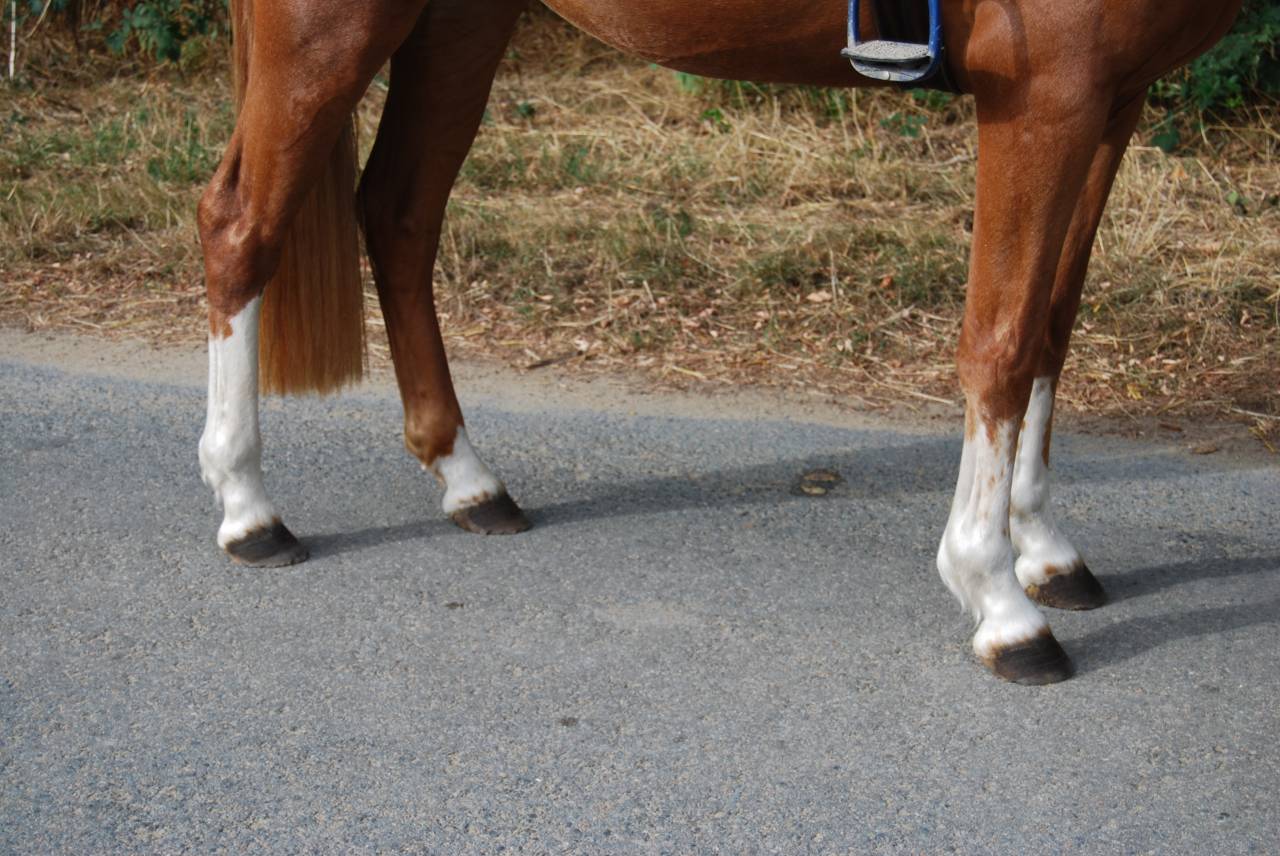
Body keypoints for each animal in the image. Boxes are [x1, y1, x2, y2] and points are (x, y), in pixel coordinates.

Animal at [195, 0, 1244, 684]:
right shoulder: (1045, 90)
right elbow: (1004, 340)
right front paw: (997, 598)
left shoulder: (1111, 98)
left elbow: (1054, 327)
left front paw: (1045, 550)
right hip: (328, 26)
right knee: (241, 227)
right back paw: (248, 508)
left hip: (457, 25)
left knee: (401, 214)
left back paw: (468, 480)